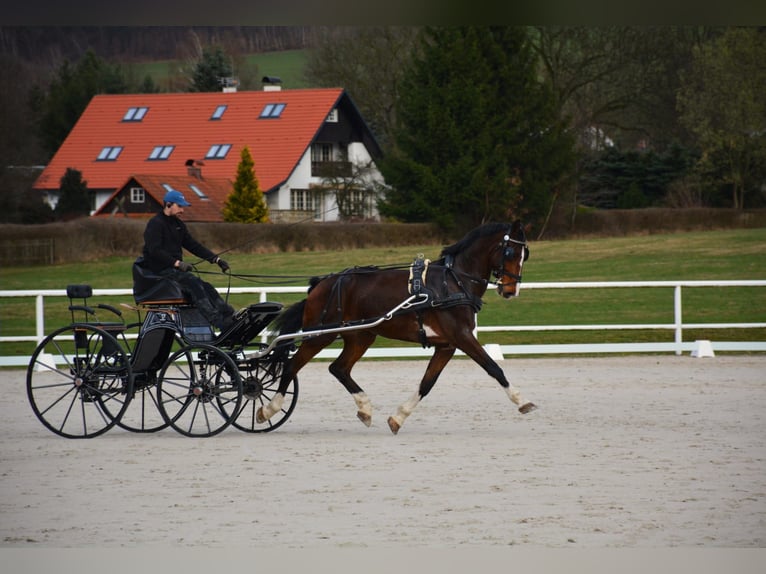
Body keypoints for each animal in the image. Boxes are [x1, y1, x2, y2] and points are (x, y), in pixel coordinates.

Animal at [255, 222, 536, 436]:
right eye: (510, 253)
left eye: (526, 255)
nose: (511, 290)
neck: (453, 282)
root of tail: (321, 283)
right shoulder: (463, 337)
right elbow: (493, 368)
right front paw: (522, 401)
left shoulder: (447, 345)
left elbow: (427, 383)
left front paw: (398, 418)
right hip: (319, 335)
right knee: (292, 367)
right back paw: (268, 409)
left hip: (361, 336)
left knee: (339, 368)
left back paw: (365, 409)